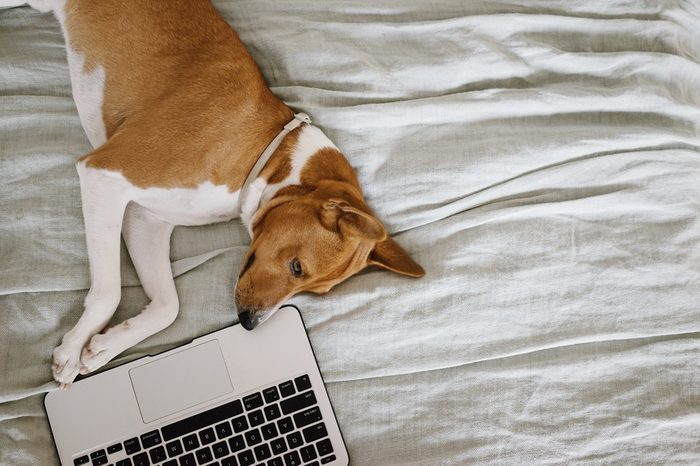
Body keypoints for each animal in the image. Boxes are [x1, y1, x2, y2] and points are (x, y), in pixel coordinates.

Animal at [2, 0, 426, 386]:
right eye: (297, 268)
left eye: (312, 291)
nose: (250, 324)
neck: (264, 150)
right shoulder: (103, 175)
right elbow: (108, 292)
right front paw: (72, 351)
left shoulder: (144, 219)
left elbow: (168, 307)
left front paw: (104, 346)